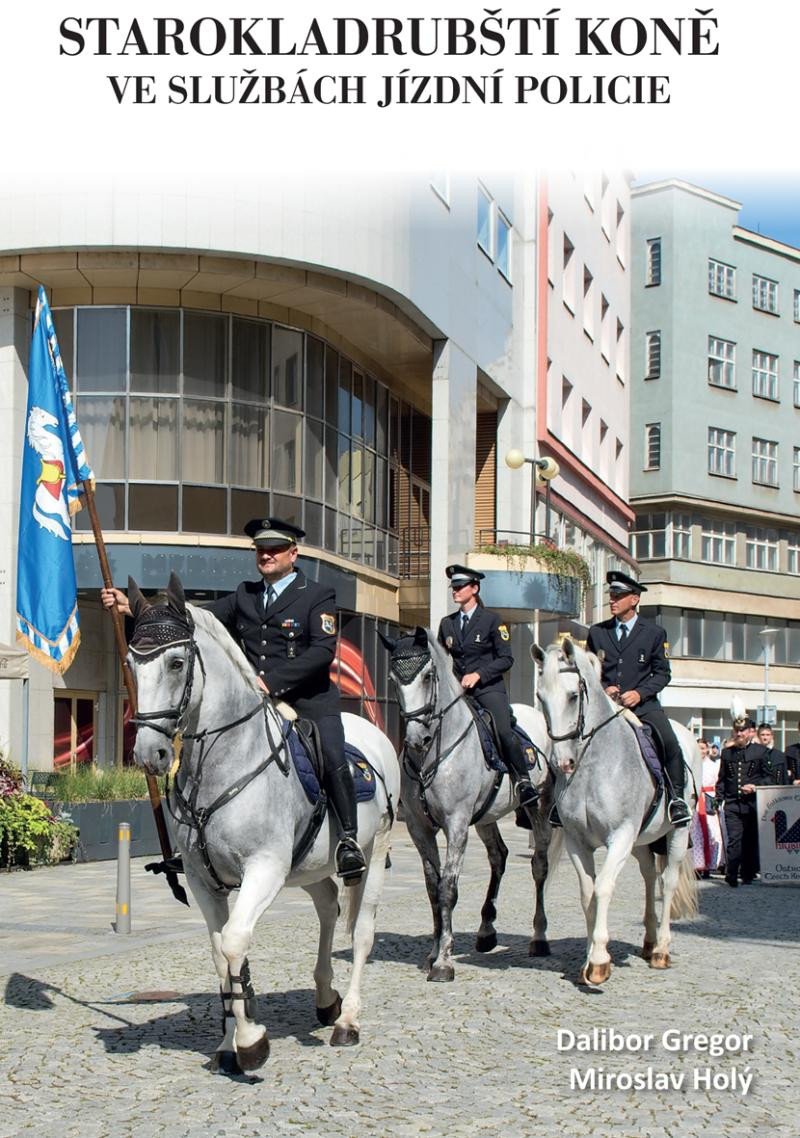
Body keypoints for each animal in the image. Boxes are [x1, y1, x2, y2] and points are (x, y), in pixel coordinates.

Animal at [127, 573, 400, 1069]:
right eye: (131, 664)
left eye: (176, 663)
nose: (148, 754)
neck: (222, 763)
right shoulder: (202, 879)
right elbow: (220, 953)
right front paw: (227, 1041)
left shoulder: (265, 868)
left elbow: (236, 941)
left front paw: (251, 1041)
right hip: (308, 865)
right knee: (327, 905)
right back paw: (326, 998)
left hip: (373, 855)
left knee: (362, 931)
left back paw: (348, 1021)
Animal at [380, 628, 557, 983]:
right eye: (393, 679)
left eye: (428, 676)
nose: (416, 739)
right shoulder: (420, 828)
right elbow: (432, 887)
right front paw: (433, 952)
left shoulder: (457, 823)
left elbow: (448, 887)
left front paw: (444, 962)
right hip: (487, 816)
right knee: (498, 856)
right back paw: (486, 930)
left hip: (539, 806)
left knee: (539, 864)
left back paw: (539, 937)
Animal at [532, 641, 700, 987]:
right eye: (540, 697)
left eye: (573, 695)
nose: (562, 762)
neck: (593, 765)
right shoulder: (577, 841)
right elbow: (587, 892)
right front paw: (588, 957)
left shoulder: (620, 836)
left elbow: (604, 886)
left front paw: (598, 961)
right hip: (641, 841)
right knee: (649, 876)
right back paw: (649, 942)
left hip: (678, 833)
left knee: (668, 881)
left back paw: (661, 950)